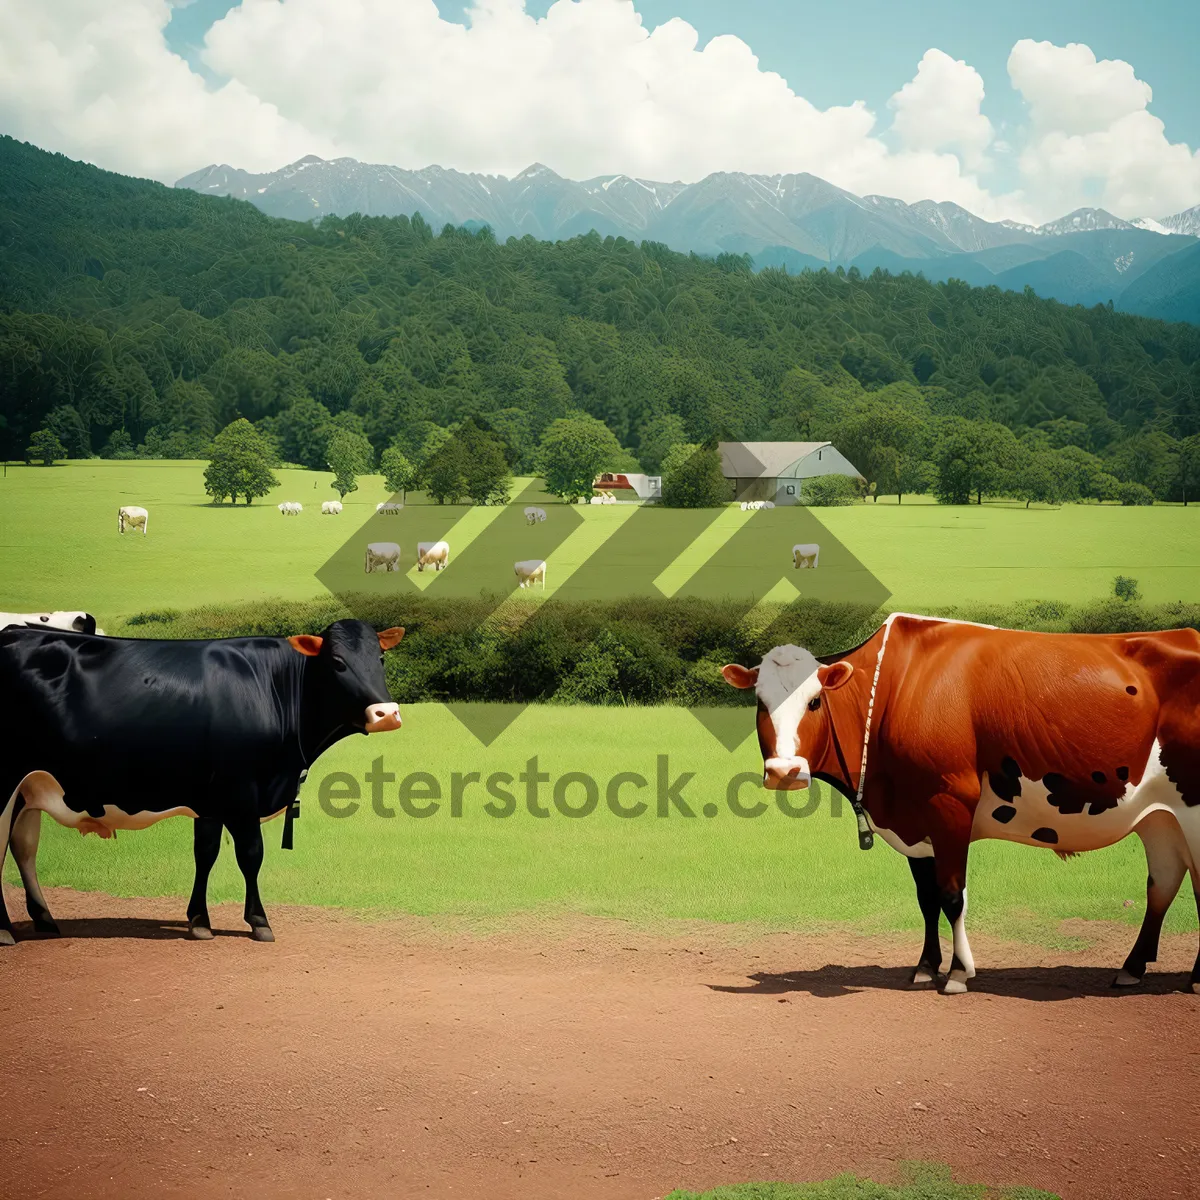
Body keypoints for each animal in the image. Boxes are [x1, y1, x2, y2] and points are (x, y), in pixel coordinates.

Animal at [0, 619, 405, 945]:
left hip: (28, 789)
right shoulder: (242, 791)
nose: (386, 713)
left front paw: (199, 921)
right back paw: (6, 930)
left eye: (380, 659)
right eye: (337, 662)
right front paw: (259, 921)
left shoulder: (211, 798)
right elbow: (251, 855)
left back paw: (45, 920)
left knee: (22, 846)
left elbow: (205, 853)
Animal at [724, 619, 1200, 993]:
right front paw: (924, 967)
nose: (785, 771)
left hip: (1191, 811)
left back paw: (1190, 978)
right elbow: (926, 897)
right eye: (760, 703)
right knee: (1164, 881)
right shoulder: (915, 820)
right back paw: (1132, 969)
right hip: (1160, 817)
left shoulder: (951, 803)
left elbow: (953, 895)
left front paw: (956, 973)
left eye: (814, 701)